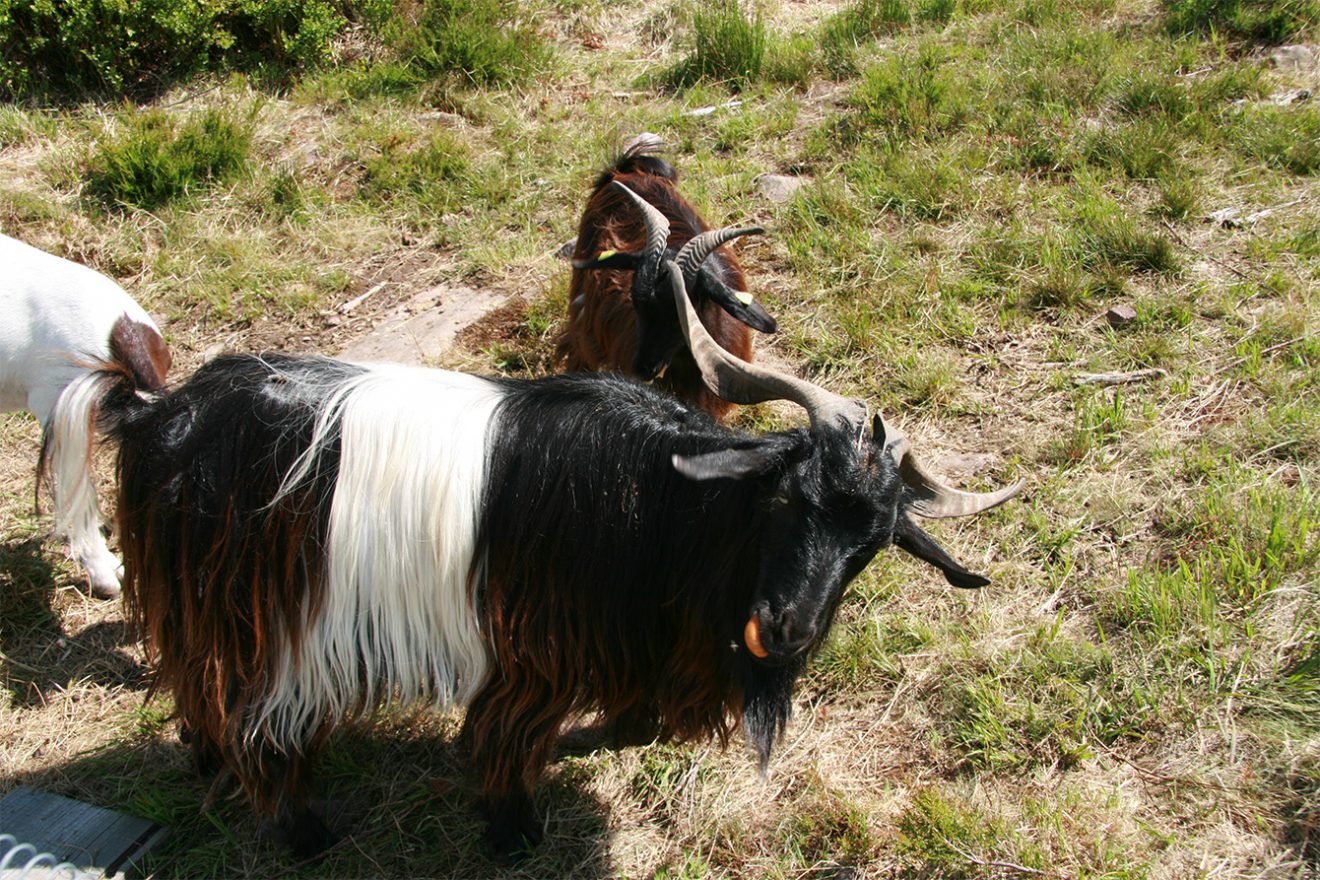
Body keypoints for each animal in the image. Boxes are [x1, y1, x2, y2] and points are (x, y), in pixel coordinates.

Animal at [95, 187, 1019, 860]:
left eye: (873, 547)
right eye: (787, 498)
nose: (786, 629)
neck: (657, 501)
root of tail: (159, 417)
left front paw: (621, 733)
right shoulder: (528, 648)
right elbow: (504, 739)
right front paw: (512, 834)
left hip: (196, 604)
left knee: (194, 685)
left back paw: (207, 765)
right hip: (257, 615)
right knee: (253, 714)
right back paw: (303, 833)